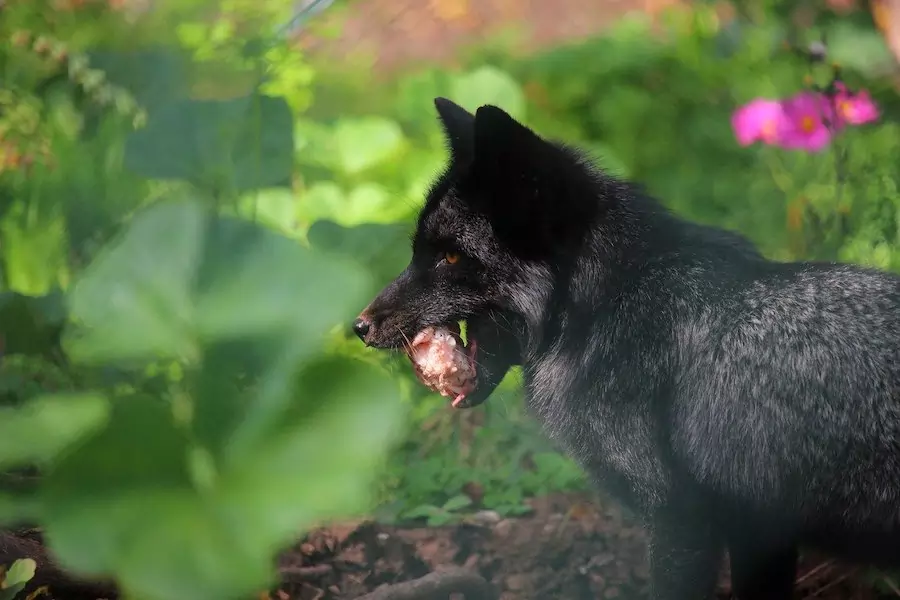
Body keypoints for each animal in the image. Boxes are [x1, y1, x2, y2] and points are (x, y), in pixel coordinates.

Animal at [354, 96, 900, 596]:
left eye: (449, 257)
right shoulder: (757, 528)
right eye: (416, 252)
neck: (603, 306)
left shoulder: (678, 518)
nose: (359, 327)